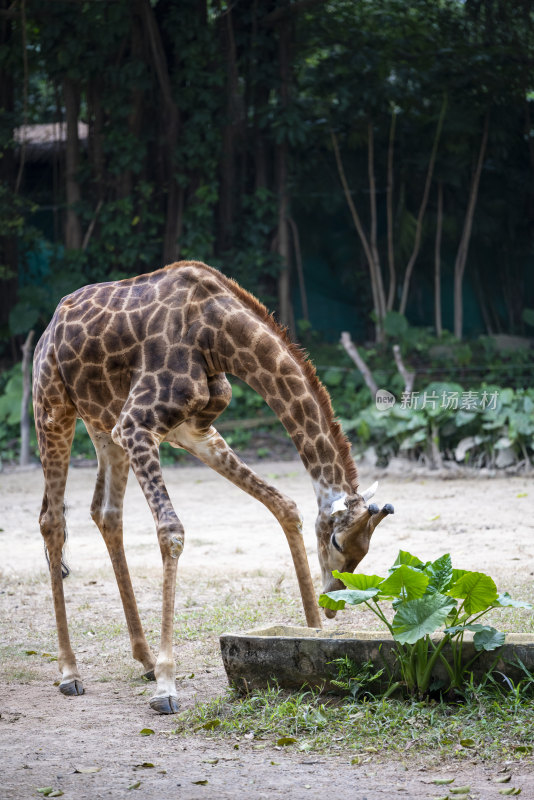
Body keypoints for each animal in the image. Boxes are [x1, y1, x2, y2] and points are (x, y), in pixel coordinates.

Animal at [33, 260, 394, 712]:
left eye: (366, 551)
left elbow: (284, 504)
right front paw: (167, 687)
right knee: (52, 520)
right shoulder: (137, 424)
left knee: (106, 513)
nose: (333, 601)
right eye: (337, 542)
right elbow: (171, 531)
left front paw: (313, 633)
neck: (217, 333)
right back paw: (70, 672)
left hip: (103, 425)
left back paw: (144, 658)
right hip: (53, 407)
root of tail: (49, 327)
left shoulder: (191, 430)